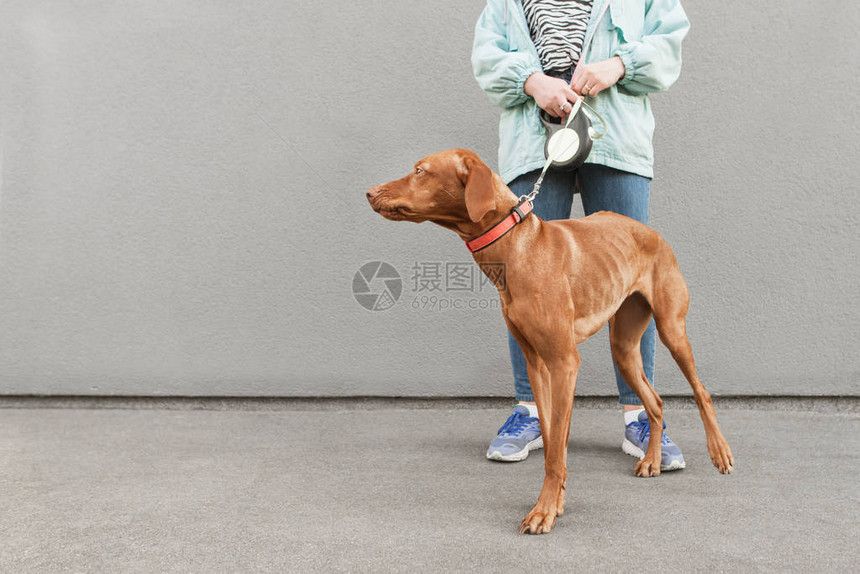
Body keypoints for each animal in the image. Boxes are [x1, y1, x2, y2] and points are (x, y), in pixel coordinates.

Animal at [362, 148, 732, 536]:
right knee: (656, 402)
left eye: (420, 171)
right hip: (623, 348)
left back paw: (719, 452)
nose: (369, 192)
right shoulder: (537, 364)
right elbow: (553, 440)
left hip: (671, 329)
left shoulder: (564, 362)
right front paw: (556, 501)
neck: (516, 248)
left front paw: (543, 511)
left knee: (701, 391)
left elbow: (557, 450)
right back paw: (653, 461)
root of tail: (654, 232)